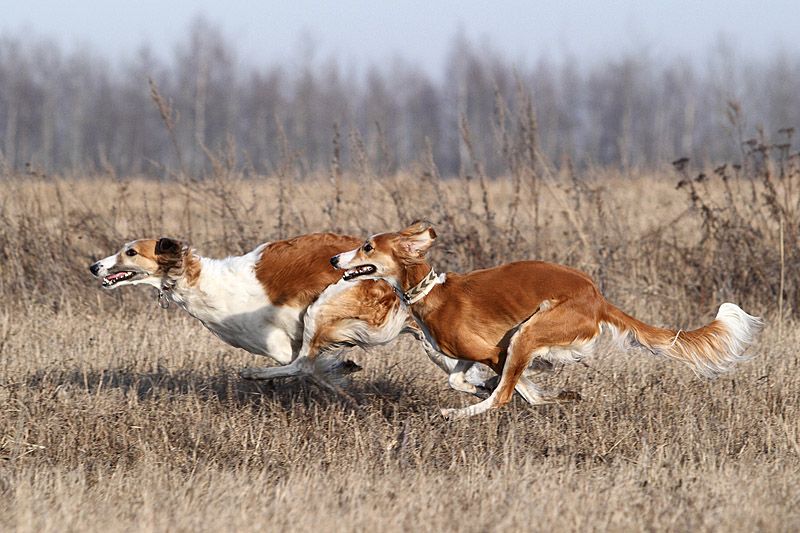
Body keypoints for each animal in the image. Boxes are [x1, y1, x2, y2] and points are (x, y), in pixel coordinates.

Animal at [89, 231, 494, 392]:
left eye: (130, 252)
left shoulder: (281, 343)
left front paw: (342, 374)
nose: (94, 266)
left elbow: (307, 365)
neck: (206, 282)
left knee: (300, 364)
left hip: (324, 303)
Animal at [330, 220, 764, 420]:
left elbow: (509, 388)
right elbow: (460, 379)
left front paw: (493, 393)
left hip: (530, 329)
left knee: (505, 394)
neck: (429, 292)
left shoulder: (495, 351)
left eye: (367, 246)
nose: (334, 259)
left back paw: (458, 414)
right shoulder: (470, 355)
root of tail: (597, 296)